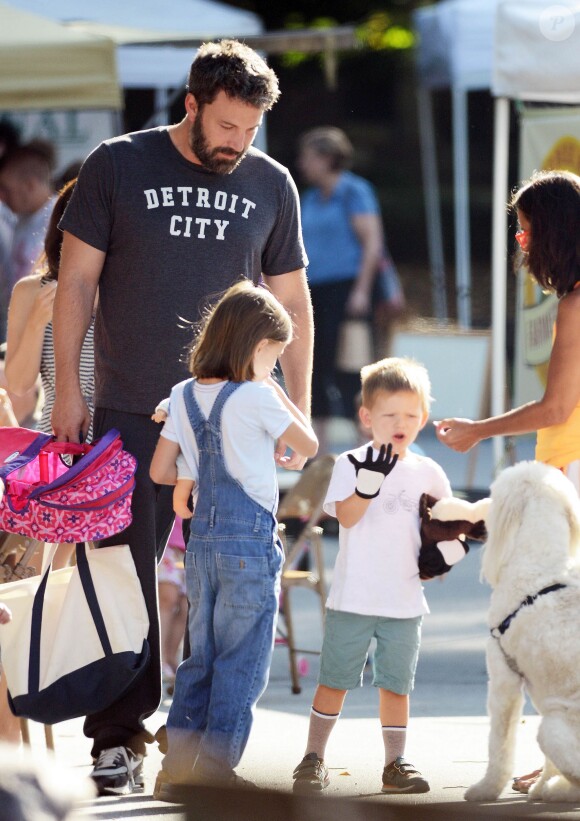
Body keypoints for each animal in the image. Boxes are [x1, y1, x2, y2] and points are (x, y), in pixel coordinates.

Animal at [466, 462, 580, 800]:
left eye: (493, 492)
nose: (477, 503)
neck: (540, 561)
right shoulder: (543, 692)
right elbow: (548, 763)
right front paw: (540, 784)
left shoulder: (503, 677)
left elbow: (499, 744)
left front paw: (485, 789)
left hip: (551, 729)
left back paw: (557, 792)